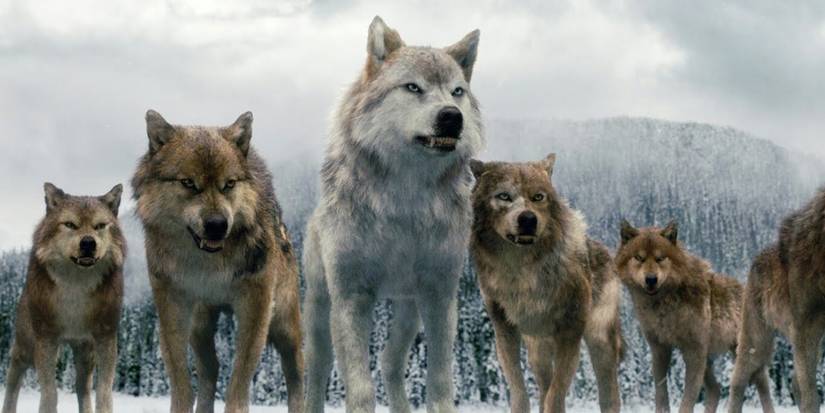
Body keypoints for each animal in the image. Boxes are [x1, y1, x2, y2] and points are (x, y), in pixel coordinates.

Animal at [1, 183, 125, 413]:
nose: (88, 242)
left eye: (100, 226)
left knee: (82, 389)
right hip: (25, 348)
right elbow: (50, 393)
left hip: (85, 355)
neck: (76, 287)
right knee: (13, 380)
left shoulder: (106, 337)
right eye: (70, 225)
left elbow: (104, 391)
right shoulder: (46, 339)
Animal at [131, 110, 303, 413]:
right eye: (189, 183)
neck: (208, 266)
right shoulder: (171, 306)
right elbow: (181, 381)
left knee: (297, 378)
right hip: (200, 327)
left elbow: (239, 380)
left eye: (229, 184)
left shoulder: (256, 306)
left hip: (286, 329)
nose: (216, 225)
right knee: (210, 370)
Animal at [302, 16, 483, 413]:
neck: (405, 203)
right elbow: (359, 387)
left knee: (389, 361)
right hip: (321, 308)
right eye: (413, 87)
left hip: (407, 310)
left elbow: (440, 381)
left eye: (456, 92)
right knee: (317, 369)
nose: (452, 117)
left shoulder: (440, 295)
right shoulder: (351, 297)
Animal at [469, 154, 623, 413]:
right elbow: (519, 390)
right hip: (538, 351)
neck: (522, 272)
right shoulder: (504, 330)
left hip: (600, 343)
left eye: (538, 197)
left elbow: (556, 394)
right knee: (543, 386)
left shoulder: (570, 332)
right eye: (504, 196)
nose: (528, 219)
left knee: (609, 393)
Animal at [616, 221, 768, 413]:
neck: (665, 304)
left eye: (660, 258)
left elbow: (688, 399)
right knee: (717, 388)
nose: (651, 279)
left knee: (760, 387)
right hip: (711, 359)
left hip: (743, 355)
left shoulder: (693, 350)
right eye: (639, 258)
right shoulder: (660, 348)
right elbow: (661, 392)